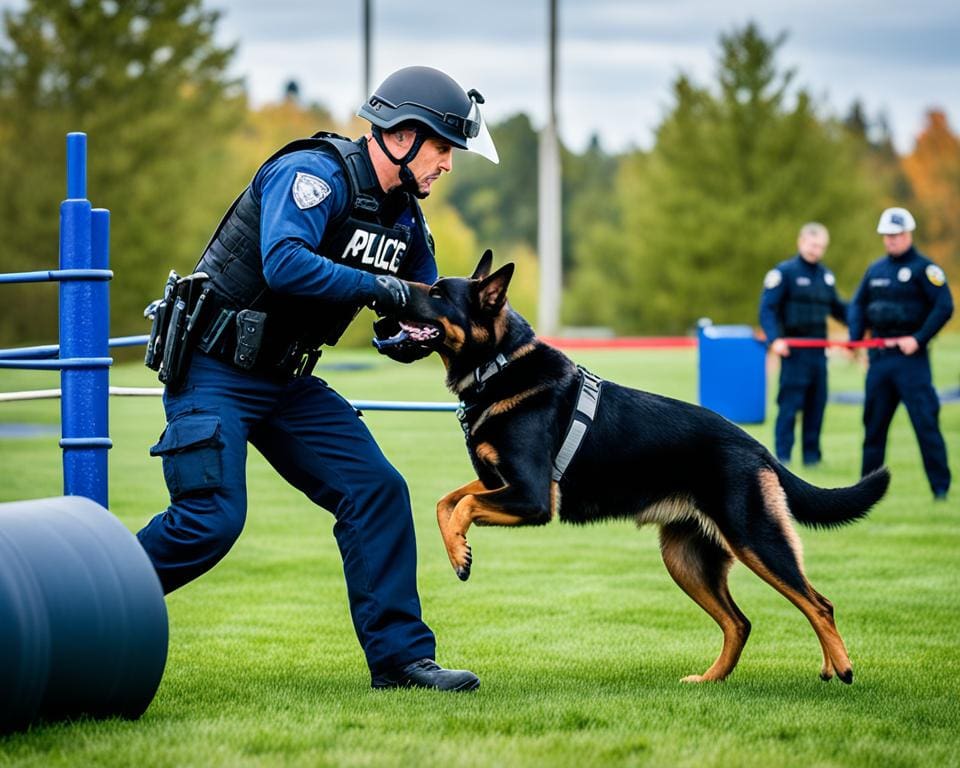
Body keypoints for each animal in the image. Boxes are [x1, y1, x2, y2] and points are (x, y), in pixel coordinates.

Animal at [394, 252, 888, 684]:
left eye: (438, 293)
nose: (394, 288)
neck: (498, 365)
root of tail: (758, 447)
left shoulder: (532, 497)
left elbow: (463, 505)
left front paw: (459, 555)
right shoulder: (501, 484)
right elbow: (446, 501)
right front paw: (456, 547)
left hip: (756, 541)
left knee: (818, 604)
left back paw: (841, 667)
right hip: (686, 560)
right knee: (741, 622)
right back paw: (712, 679)